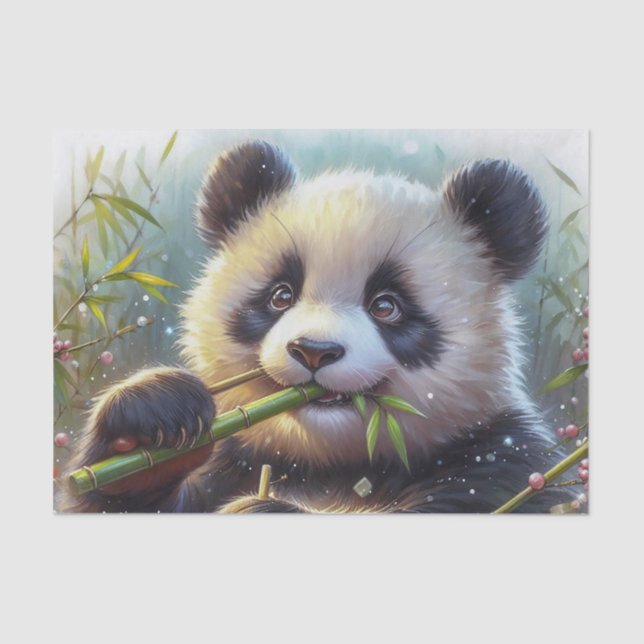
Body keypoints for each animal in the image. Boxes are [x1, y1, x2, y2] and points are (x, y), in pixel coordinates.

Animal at [60, 140, 576, 513]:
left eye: (386, 306)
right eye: (280, 295)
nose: (314, 351)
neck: (330, 462)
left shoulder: (497, 460)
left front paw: (262, 509)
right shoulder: (240, 456)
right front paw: (151, 419)